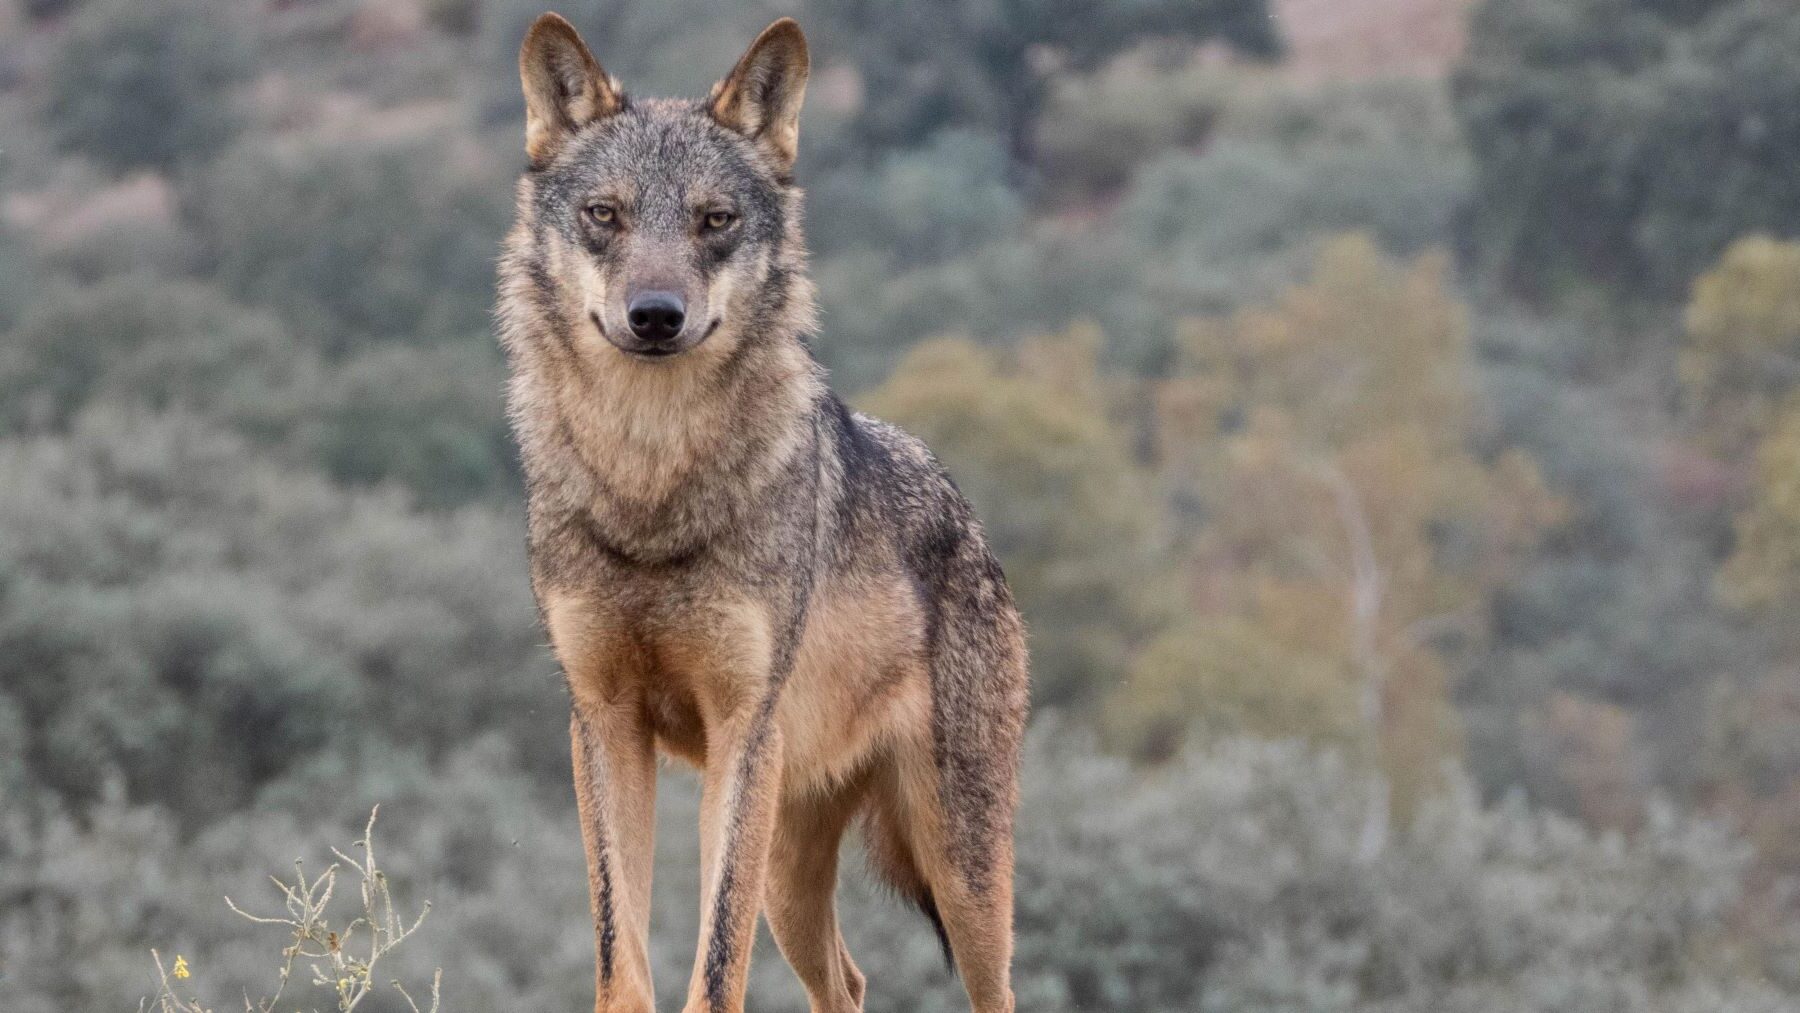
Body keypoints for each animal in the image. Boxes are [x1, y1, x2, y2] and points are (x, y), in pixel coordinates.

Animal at [495, 13, 1030, 1013]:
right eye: (605, 215)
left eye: (715, 221)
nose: (654, 315)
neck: (653, 487)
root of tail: (967, 513)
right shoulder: (604, 724)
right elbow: (621, 954)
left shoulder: (743, 728)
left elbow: (713, 967)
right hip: (790, 862)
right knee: (848, 981)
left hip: (959, 868)